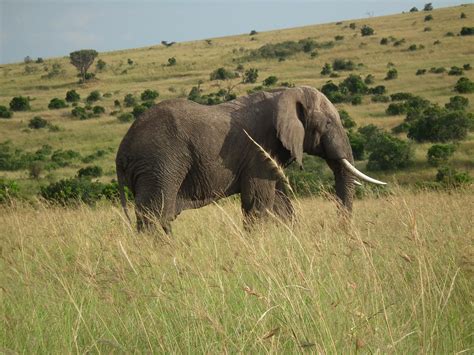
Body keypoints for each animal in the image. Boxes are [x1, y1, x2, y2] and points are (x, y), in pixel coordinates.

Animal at [115, 85, 386, 232]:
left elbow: (280, 203)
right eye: (328, 123)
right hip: (159, 164)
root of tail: (122, 150)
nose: (339, 230)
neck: (284, 93)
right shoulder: (258, 150)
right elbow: (258, 201)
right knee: (155, 215)